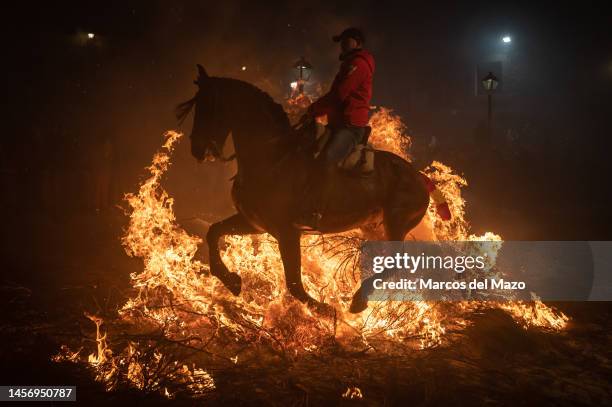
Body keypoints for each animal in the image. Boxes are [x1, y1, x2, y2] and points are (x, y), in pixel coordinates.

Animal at [178, 63, 430, 314]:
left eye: (208, 105)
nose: (197, 149)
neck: (271, 155)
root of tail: (420, 179)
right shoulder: (254, 223)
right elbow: (213, 232)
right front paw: (231, 280)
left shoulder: (288, 232)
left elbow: (294, 284)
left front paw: (326, 311)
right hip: (375, 228)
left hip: (395, 224)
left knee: (398, 261)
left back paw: (359, 299)